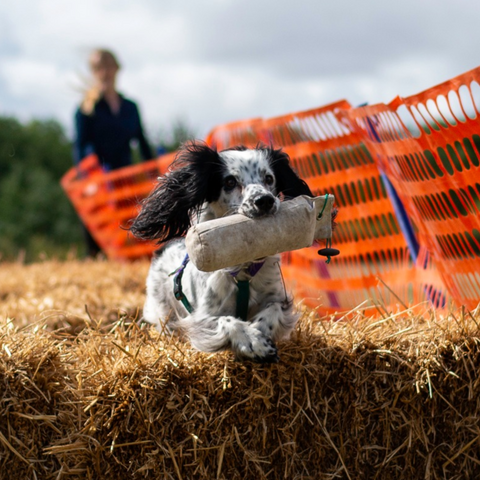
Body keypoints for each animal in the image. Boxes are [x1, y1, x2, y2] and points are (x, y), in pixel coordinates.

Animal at [129, 142, 314, 364]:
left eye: (269, 178)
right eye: (230, 181)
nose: (264, 200)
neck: (243, 271)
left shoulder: (278, 298)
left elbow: (273, 310)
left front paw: (260, 330)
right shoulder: (202, 317)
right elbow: (227, 321)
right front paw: (253, 342)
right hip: (163, 311)